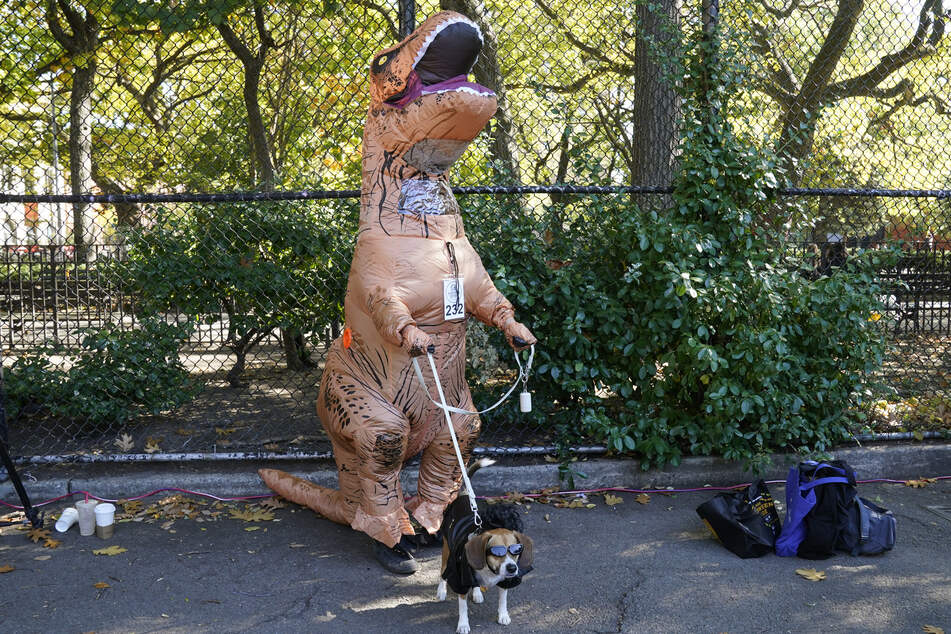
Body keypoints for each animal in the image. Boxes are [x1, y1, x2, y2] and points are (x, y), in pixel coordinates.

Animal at [436, 464, 532, 632]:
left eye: (516, 550)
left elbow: (503, 600)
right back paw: (441, 590)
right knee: (443, 571)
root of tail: (464, 495)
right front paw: (463, 624)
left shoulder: (505, 581)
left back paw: (476, 593)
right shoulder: (460, 580)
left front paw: (503, 615)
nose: (512, 568)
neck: (489, 569)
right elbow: (463, 607)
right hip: (447, 551)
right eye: (497, 552)